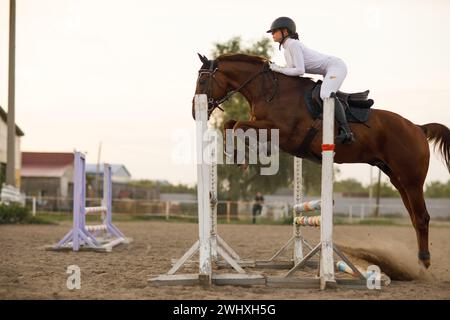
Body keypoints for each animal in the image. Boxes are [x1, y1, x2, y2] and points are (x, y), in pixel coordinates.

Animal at [192, 52, 450, 268]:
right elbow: (230, 124)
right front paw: (239, 155)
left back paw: (424, 261)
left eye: (203, 81)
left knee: (422, 217)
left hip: (411, 180)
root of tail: (418, 128)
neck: (270, 92)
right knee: (414, 217)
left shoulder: (282, 132)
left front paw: (243, 155)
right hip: (397, 178)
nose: (195, 112)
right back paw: (418, 261)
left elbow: (237, 125)